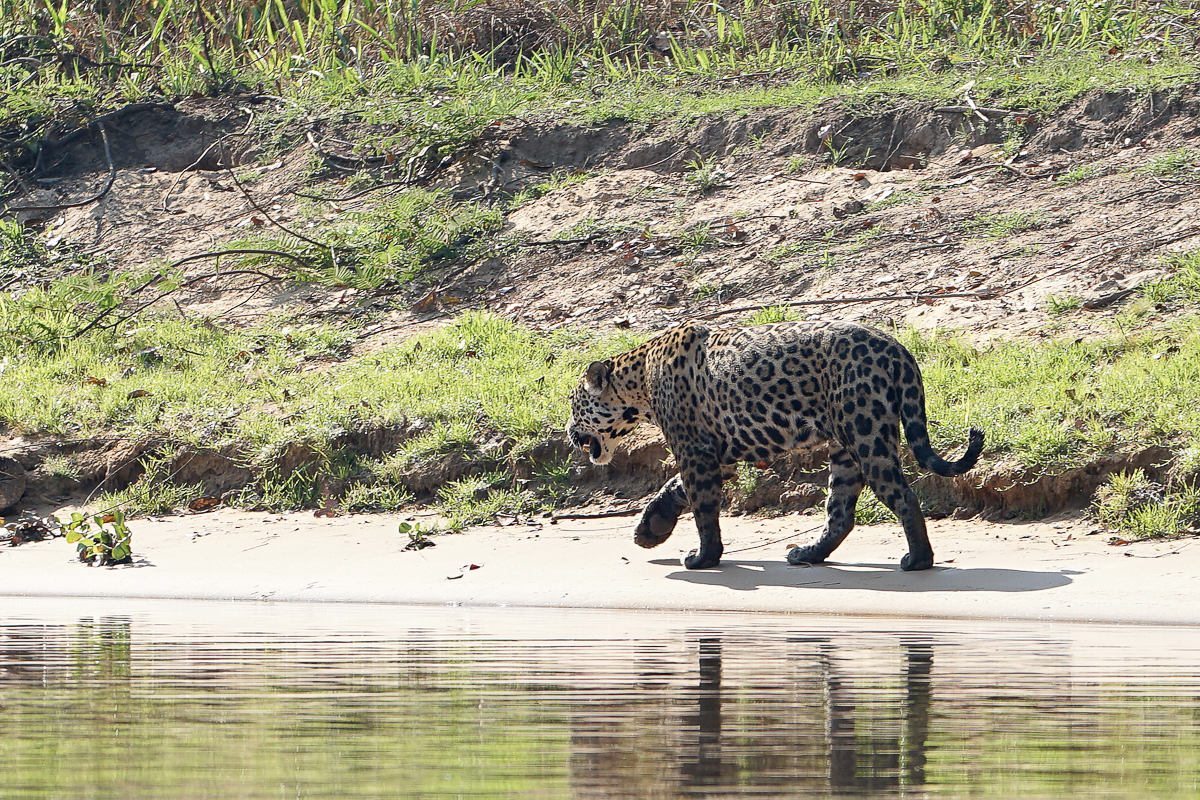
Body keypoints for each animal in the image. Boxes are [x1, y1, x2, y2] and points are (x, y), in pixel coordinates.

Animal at [566, 320, 984, 572]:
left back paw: (918, 560)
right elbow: (677, 488)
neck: (638, 382)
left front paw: (704, 557)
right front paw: (650, 529)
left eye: (573, 405)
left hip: (865, 435)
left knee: (903, 496)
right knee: (841, 512)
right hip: (845, 447)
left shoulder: (694, 451)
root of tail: (897, 347)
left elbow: (702, 509)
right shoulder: (716, 454)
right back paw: (808, 553)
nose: (569, 430)